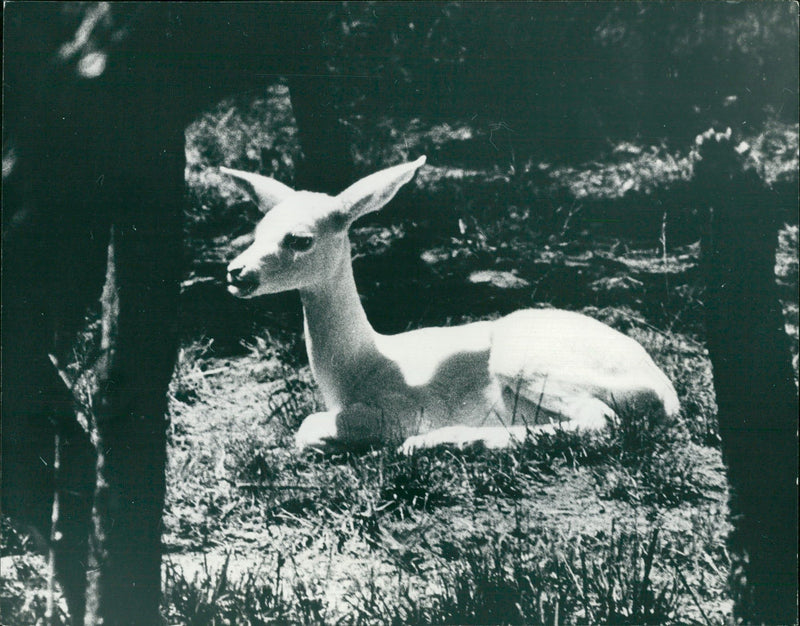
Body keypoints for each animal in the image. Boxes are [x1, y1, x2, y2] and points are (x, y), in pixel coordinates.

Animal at [223, 157, 680, 453]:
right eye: (257, 230)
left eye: (300, 239)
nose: (235, 272)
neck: (360, 367)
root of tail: (665, 390)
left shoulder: (401, 410)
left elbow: (307, 428)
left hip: (525, 360)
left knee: (600, 421)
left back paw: (441, 441)